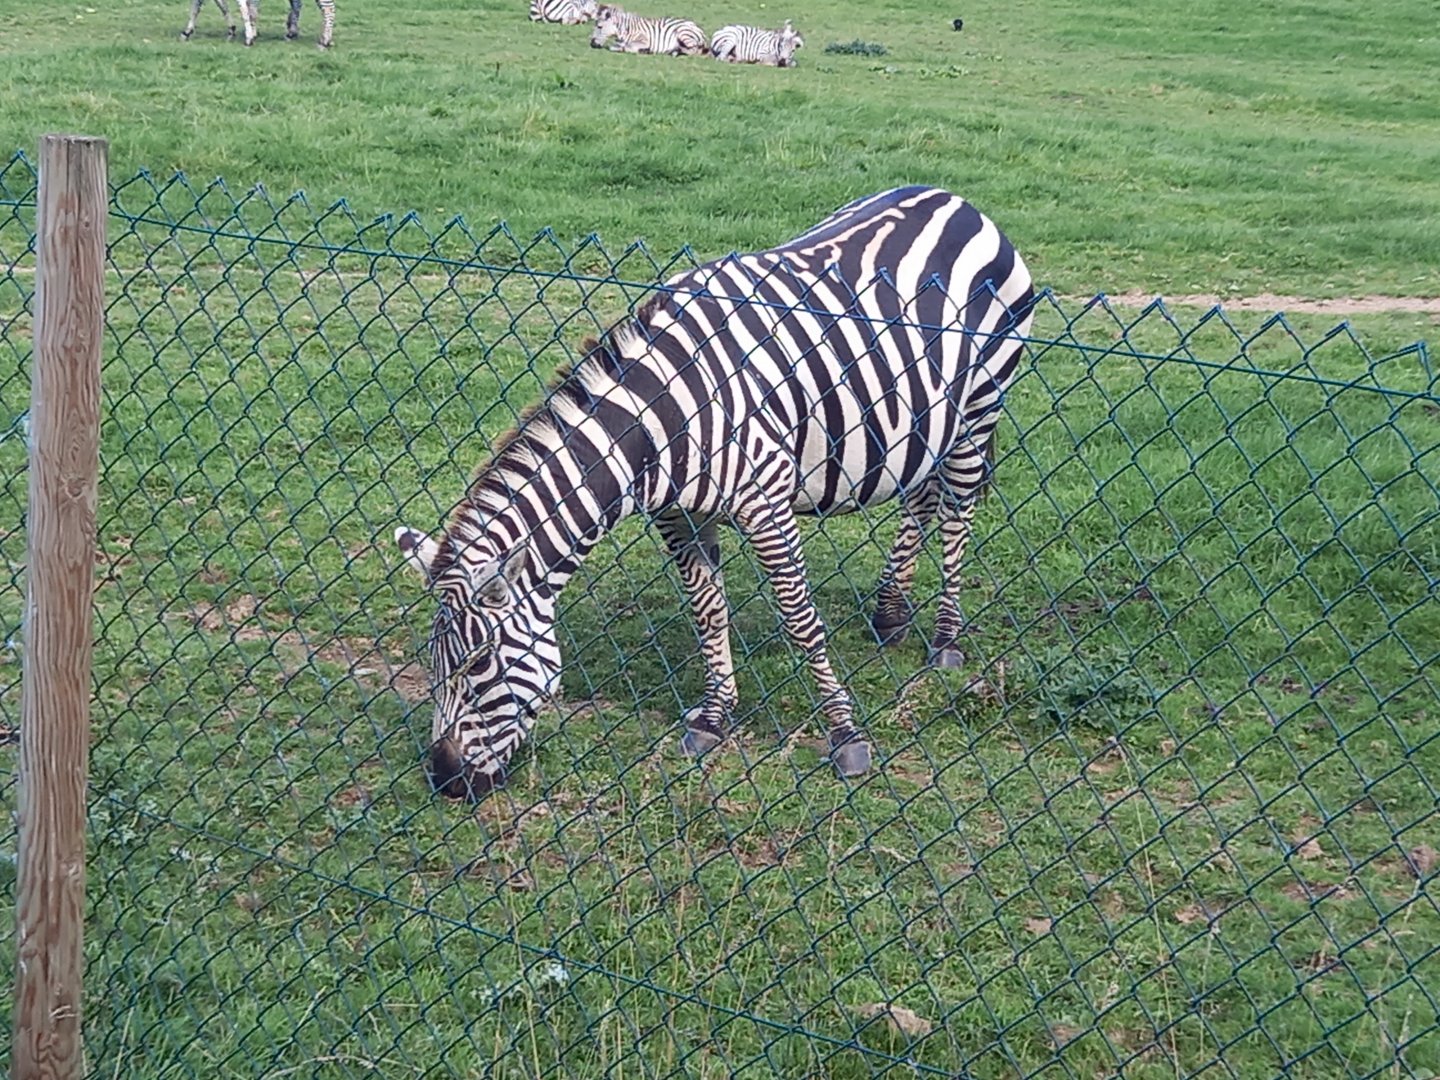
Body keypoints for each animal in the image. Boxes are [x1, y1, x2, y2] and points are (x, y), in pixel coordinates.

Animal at [394, 185, 1036, 799]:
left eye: (480, 663)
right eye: (433, 664)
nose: (445, 781)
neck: (665, 419)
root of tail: (956, 200)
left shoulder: (767, 502)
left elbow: (800, 617)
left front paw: (845, 736)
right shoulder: (678, 515)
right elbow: (708, 609)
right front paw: (714, 716)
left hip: (979, 408)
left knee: (957, 512)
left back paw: (947, 638)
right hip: (925, 424)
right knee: (920, 499)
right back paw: (890, 614)